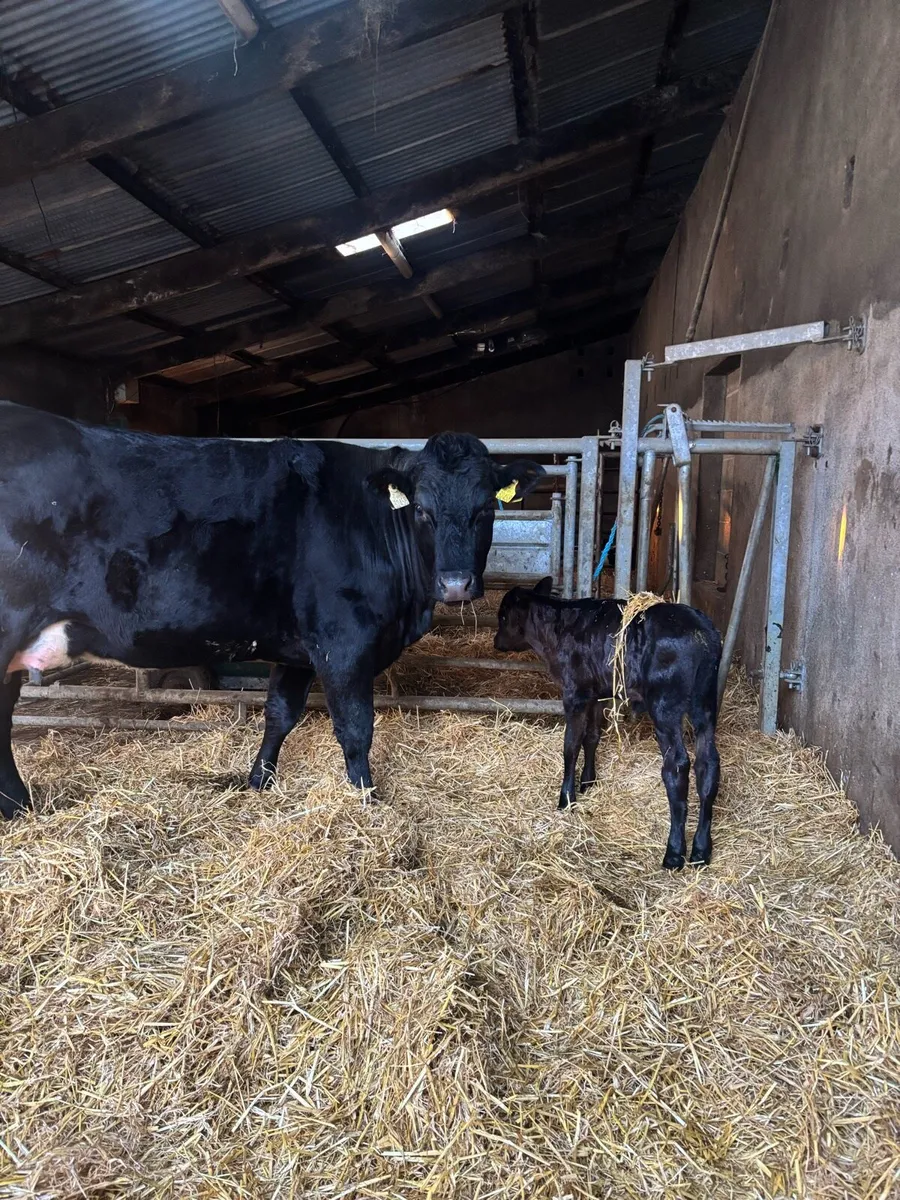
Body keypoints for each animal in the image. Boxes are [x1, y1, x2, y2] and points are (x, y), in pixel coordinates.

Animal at [0, 401, 544, 818]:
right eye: (424, 511)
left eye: (487, 509)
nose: (455, 584)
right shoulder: (344, 643)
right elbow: (355, 727)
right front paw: (367, 801)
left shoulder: (297, 648)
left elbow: (280, 714)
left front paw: (258, 782)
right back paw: (17, 807)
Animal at [493, 578, 722, 870]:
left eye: (503, 616)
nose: (496, 642)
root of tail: (703, 636)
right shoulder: (598, 692)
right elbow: (592, 737)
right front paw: (588, 781)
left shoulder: (575, 694)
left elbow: (571, 745)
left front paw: (566, 798)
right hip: (705, 704)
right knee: (708, 764)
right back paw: (701, 850)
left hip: (665, 706)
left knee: (677, 765)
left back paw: (674, 852)